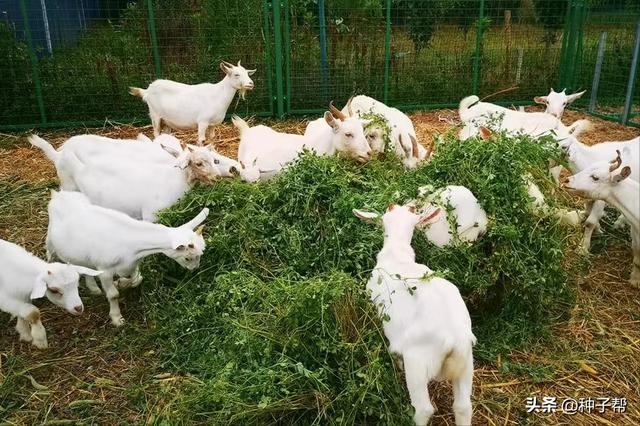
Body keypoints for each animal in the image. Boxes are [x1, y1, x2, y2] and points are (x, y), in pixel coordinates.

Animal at [30, 135, 220, 221]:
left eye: (214, 160)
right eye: (198, 163)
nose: (217, 178)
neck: (175, 179)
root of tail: (58, 155)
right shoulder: (151, 216)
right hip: (68, 186)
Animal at [46, 192, 209, 326]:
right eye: (188, 258)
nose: (194, 269)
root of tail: (58, 195)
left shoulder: (131, 263)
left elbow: (137, 279)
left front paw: (120, 283)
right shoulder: (104, 270)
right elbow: (113, 295)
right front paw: (117, 318)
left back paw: (93, 287)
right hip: (50, 240)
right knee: (49, 253)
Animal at [352, 205, 478, 424]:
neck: (397, 255)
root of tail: (454, 341)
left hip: (418, 363)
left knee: (424, 408)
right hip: (466, 364)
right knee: (463, 406)